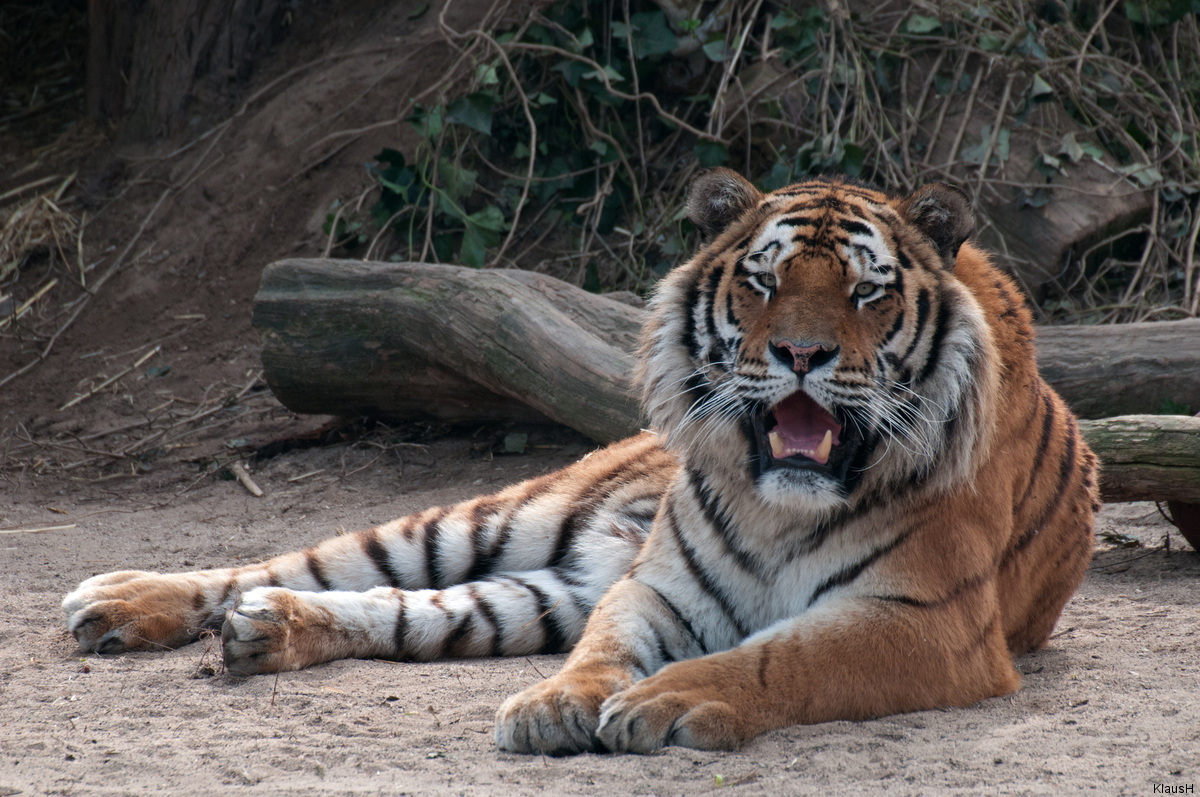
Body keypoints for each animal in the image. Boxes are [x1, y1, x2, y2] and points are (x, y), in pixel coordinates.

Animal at [63, 168, 1099, 753]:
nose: (799, 354)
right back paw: (119, 600)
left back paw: (265, 631)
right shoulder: (657, 586)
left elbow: (780, 656)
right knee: (301, 561)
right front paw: (558, 701)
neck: (780, 502)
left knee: (408, 610)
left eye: (865, 292)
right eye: (763, 281)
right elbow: (605, 650)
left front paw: (666, 699)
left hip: (549, 583)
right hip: (499, 516)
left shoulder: (927, 621)